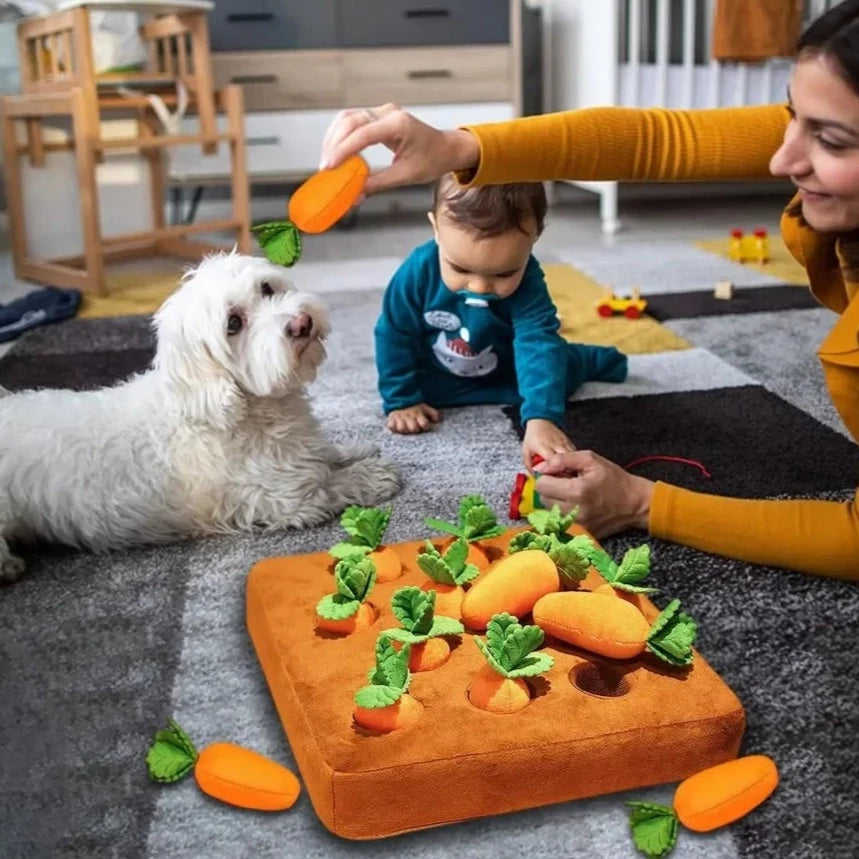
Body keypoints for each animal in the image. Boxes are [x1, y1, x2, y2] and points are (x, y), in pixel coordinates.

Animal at [0, 250, 402, 584]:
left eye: (267, 288)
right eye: (233, 324)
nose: (301, 323)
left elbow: (324, 453)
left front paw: (351, 450)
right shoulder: (287, 499)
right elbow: (333, 484)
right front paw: (371, 475)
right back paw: (9, 567)